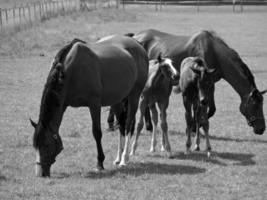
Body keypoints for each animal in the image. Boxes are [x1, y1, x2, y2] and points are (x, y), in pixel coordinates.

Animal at [30, 35, 151, 177]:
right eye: (35, 146)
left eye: (47, 145)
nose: (40, 173)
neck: (71, 71)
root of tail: (138, 45)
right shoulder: (63, 104)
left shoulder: (94, 105)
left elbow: (96, 133)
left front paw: (99, 163)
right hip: (116, 100)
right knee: (121, 124)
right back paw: (118, 158)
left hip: (134, 95)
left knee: (127, 124)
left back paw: (124, 159)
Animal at [134, 28, 267, 137]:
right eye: (255, 104)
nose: (261, 128)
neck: (214, 53)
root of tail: (135, 36)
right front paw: (193, 128)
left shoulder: (210, 84)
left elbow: (211, 109)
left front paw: (195, 127)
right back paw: (149, 126)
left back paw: (149, 126)